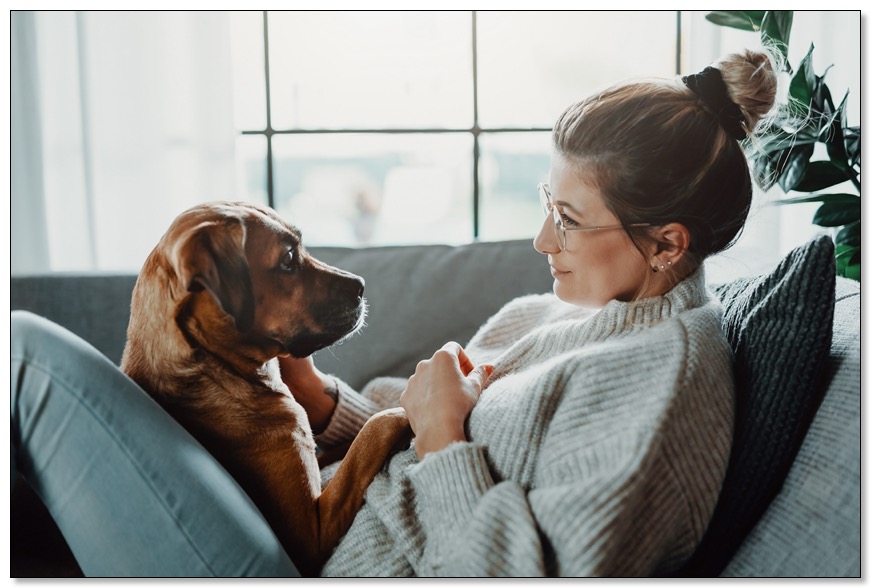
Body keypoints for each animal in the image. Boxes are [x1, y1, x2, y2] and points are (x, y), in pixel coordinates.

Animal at [121, 201, 414, 576]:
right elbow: (373, 432)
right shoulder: (311, 532)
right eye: (288, 258)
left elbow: (347, 446)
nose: (362, 285)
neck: (217, 369)